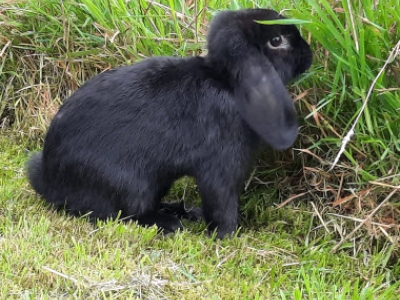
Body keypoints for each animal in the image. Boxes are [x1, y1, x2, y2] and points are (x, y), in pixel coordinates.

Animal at [27, 8, 312, 239]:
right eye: (276, 41)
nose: (308, 55)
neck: (227, 84)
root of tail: (50, 182)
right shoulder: (220, 166)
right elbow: (221, 201)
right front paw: (226, 236)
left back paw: (181, 211)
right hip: (131, 184)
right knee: (127, 212)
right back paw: (169, 224)